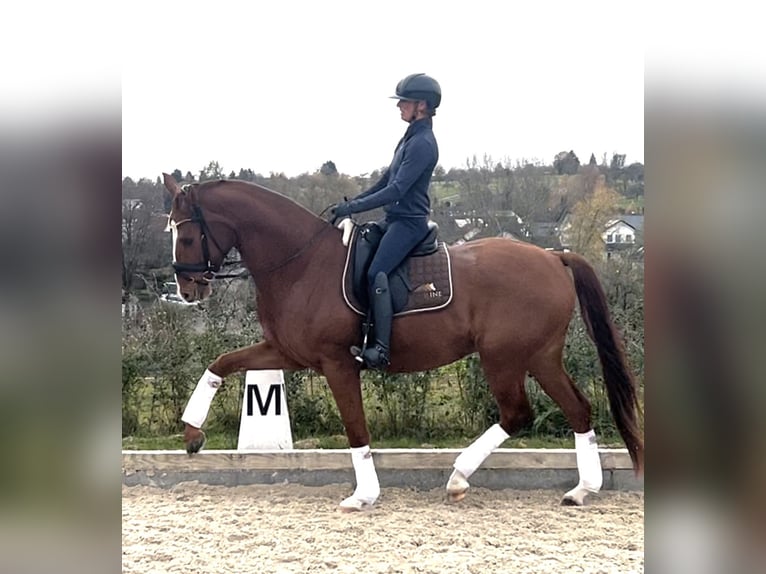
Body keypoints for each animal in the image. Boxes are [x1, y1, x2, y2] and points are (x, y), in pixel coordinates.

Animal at [161, 173, 644, 511]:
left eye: (186, 234)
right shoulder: (288, 352)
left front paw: (363, 495)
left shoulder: (337, 363)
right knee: (577, 409)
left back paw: (459, 477)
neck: (301, 262)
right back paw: (582, 490)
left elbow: (355, 426)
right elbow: (220, 363)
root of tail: (551, 255)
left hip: (503, 357)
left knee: (517, 413)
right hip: (539, 356)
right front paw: (192, 432)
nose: (187, 289)